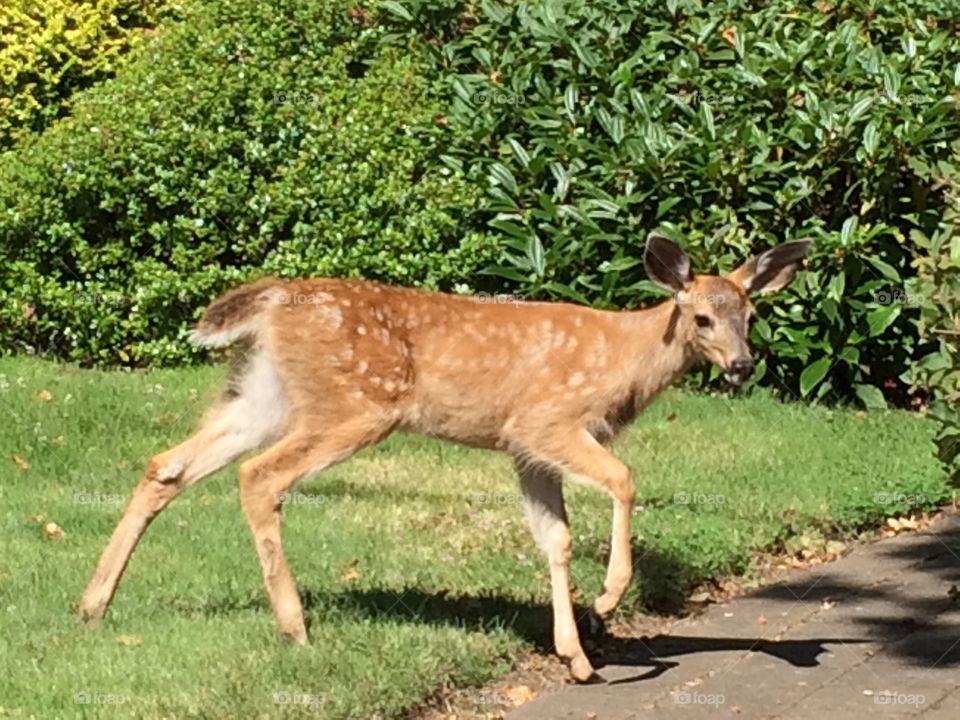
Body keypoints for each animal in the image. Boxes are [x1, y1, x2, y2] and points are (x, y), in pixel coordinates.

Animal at [77, 235, 808, 680]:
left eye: (750, 316)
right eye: (702, 319)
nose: (742, 366)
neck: (625, 360)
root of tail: (275, 299)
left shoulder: (525, 450)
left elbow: (555, 539)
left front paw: (575, 656)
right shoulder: (546, 419)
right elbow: (624, 481)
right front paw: (607, 600)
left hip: (262, 392)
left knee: (166, 463)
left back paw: (92, 605)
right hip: (354, 405)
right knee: (259, 475)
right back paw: (293, 626)